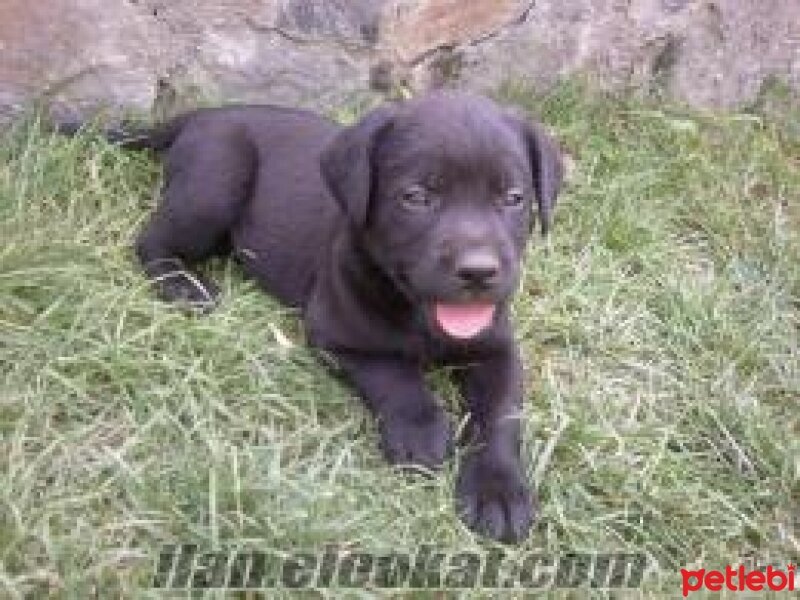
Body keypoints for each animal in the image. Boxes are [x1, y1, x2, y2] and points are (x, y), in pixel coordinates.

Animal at [109, 92, 560, 544]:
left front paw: (498, 491)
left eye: (513, 198)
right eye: (415, 197)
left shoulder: (498, 349)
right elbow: (392, 375)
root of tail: (205, 114)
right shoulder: (334, 335)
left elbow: (501, 416)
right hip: (215, 182)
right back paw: (183, 286)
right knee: (151, 241)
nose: (478, 272)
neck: (419, 313)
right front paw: (420, 430)